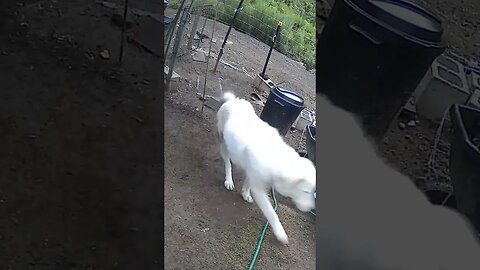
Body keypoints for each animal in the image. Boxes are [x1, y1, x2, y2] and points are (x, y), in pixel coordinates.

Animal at [217, 92, 316, 244]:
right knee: (228, 163)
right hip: (224, 143)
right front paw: (280, 233)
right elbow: (271, 212)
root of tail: (233, 100)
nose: (312, 208)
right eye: (305, 191)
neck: (278, 160)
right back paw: (229, 180)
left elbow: (247, 184)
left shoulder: (253, 174)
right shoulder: (259, 189)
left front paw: (245, 194)